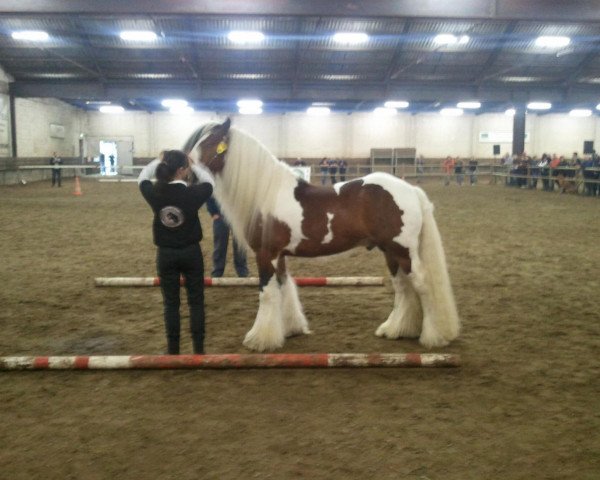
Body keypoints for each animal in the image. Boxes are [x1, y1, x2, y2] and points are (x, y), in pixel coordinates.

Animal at [183, 119, 460, 352]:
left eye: (209, 142)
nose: (186, 172)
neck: (267, 192)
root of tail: (411, 190)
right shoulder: (279, 256)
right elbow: (284, 288)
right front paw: (290, 329)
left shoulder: (266, 255)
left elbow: (267, 293)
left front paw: (260, 340)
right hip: (391, 252)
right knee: (403, 288)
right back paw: (395, 330)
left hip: (403, 251)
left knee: (422, 285)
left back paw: (433, 337)